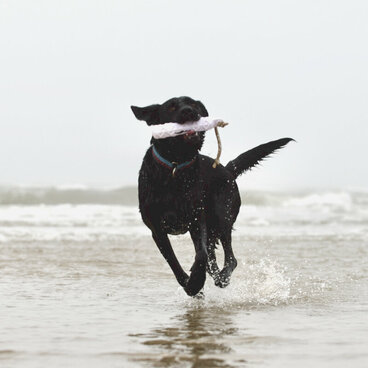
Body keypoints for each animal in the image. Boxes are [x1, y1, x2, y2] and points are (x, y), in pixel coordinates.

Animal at [132, 97, 294, 296]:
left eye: (193, 104)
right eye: (171, 107)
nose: (188, 111)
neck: (175, 167)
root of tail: (228, 170)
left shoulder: (197, 219)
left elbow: (201, 254)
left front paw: (195, 282)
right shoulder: (157, 229)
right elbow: (173, 261)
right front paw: (191, 283)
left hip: (221, 216)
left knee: (229, 258)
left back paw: (221, 277)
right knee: (215, 259)